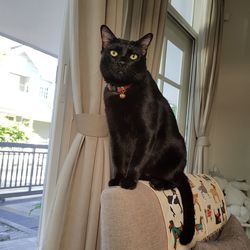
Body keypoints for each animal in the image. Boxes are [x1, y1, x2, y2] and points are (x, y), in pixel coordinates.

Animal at [99, 24, 195, 244]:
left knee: (174, 179)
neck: (123, 93)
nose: (122, 61)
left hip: (177, 150)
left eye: (134, 56)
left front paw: (128, 182)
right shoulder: (115, 133)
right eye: (114, 52)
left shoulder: (146, 132)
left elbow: (135, 159)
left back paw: (157, 182)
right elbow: (118, 159)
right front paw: (117, 179)